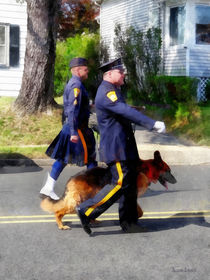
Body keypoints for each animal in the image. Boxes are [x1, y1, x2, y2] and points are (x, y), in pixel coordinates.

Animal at [40, 151, 176, 230]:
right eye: (168, 171)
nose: (176, 181)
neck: (146, 170)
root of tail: (72, 178)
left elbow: (139, 212)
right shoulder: (131, 196)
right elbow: (139, 212)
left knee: (85, 210)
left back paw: (91, 221)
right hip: (77, 202)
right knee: (59, 212)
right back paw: (61, 225)